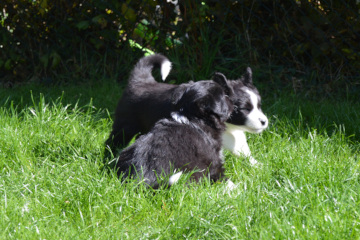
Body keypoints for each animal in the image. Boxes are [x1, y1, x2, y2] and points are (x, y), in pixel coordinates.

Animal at [105, 53, 268, 164]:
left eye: (259, 106)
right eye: (245, 109)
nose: (264, 122)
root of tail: (140, 81)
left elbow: (242, 148)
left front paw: (257, 165)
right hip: (125, 125)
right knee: (112, 141)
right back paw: (109, 157)